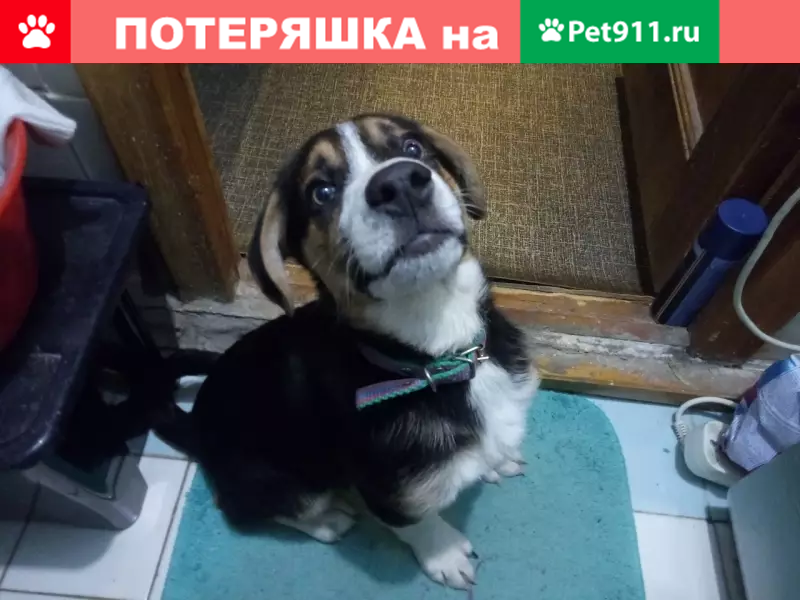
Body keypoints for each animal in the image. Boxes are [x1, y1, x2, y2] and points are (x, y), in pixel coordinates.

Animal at [156, 114, 539, 589]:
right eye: (321, 191)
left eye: (412, 148)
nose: (401, 183)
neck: (443, 351)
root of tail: (198, 424)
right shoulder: (387, 488)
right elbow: (417, 522)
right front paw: (446, 555)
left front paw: (496, 460)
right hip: (267, 476)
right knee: (256, 507)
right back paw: (327, 519)